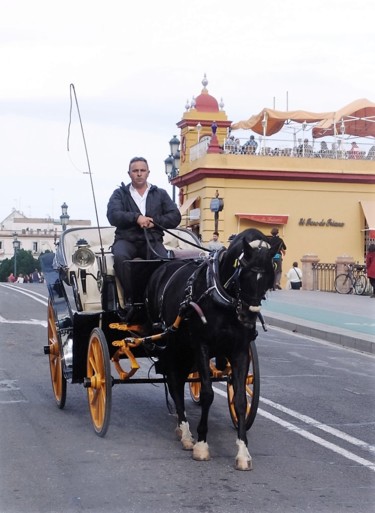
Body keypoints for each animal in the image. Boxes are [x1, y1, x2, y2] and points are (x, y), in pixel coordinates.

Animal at [145, 228, 278, 468]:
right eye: (243, 272)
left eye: (268, 277)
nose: (248, 317)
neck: (221, 296)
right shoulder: (201, 345)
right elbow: (207, 394)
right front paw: (201, 444)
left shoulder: (240, 350)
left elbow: (240, 399)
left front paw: (243, 451)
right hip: (173, 345)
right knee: (175, 382)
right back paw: (186, 432)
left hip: (185, 350)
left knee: (178, 380)